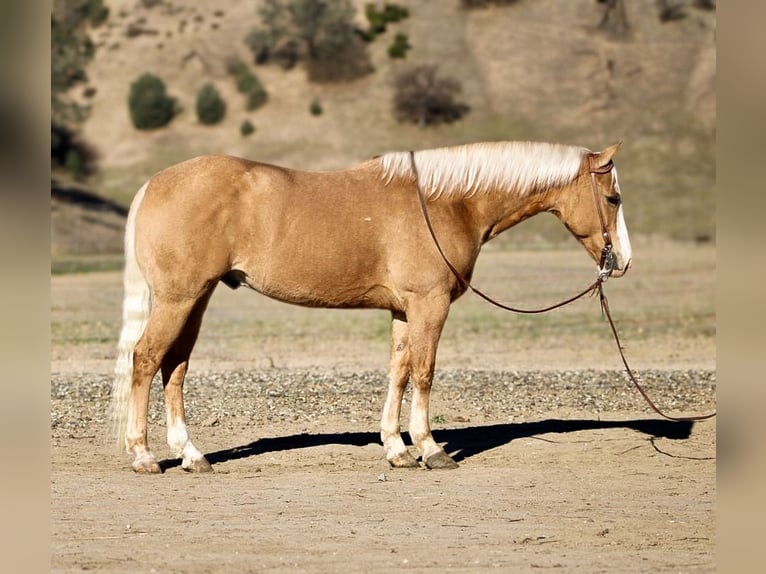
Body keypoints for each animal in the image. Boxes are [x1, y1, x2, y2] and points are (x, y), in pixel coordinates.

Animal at [111, 142, 632, 474]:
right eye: (612, 197)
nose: (622, 261)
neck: (448, 203)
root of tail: (154, 184)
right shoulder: (429, 305)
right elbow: (424, 373)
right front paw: (430, 448)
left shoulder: (404, 311)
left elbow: (398, 373)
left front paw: (397, 449)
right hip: (179, 299)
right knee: (146, 360)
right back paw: (143, 456)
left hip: (195, 300)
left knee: (175, 368)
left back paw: (192, 455)